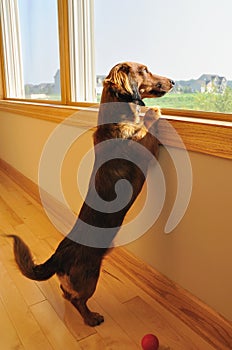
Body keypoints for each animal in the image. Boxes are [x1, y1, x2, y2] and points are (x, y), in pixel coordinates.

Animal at [5, 62, 174, 326]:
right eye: (144, 70)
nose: (174, 82)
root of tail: (60, 255)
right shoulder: (146, 148)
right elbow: (147, 128)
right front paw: (153, 113)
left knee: (66, 292)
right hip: (90, 277)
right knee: (78, 300)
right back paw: (91, 317)